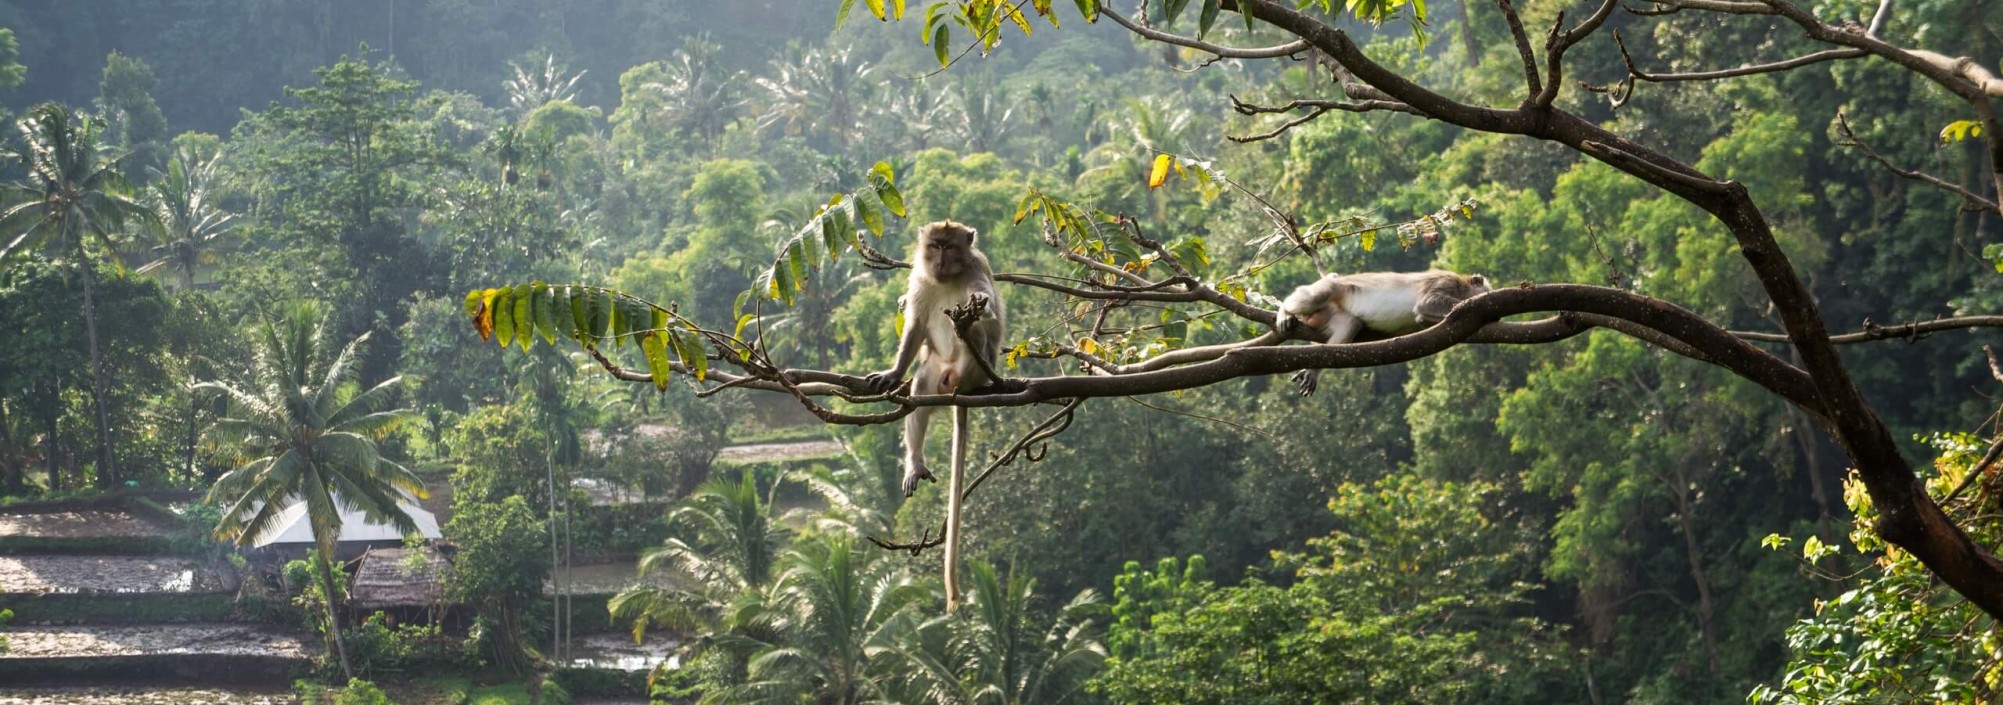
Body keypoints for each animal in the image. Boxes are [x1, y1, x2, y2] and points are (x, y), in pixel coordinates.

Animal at [863, 220, 1005, 609]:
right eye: (934, 246)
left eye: (950, 247)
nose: (940, 261)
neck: (946, 280)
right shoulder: (921, 280)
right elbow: (914, 327)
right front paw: (893, 373)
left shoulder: (975, 273)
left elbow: (985, 310)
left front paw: (973, 315)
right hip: (936, 371)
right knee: (920, 391)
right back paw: (915, 461)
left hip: (974, 368)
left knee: (977, 334)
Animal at [1274, 269, 1490, 395]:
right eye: (1487, 293)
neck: (1462, 287)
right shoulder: (1446, 281)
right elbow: (1428, 303)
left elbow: (1422, 316)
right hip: (1331, 290)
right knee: (1322, 293)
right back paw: (1284, 310)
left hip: (1328, 313)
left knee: (1350, 323)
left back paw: (1314, 369)